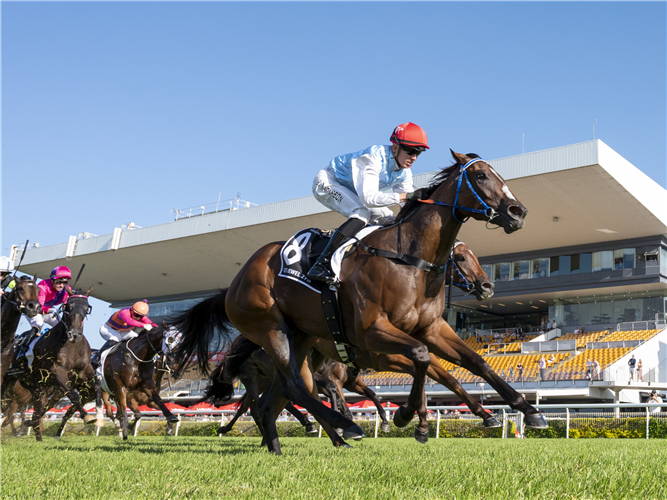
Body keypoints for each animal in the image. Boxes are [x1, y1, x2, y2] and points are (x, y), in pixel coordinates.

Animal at [0, 290, 98, 442]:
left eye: (86, 307)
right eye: (68, 306)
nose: (74, 334)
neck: (72, 347)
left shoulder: (84, 372)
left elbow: (94, 390)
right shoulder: (56, 373)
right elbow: (73, 395)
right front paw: (87, 416)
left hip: (33, 385)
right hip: (8, 379)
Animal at [172, 151, 548, 454]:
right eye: (481, 176)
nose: (518, 212)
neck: (409, 258)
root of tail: (232, 284)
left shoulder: (431, 328)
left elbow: (471, 363)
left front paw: (526, 410)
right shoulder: (373, 333)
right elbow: (424, 361)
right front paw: (407, 418)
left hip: (300, 338)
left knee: (275, 399)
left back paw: (284, 444)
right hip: (270, 327)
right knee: (293, 388)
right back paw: (345, 427)